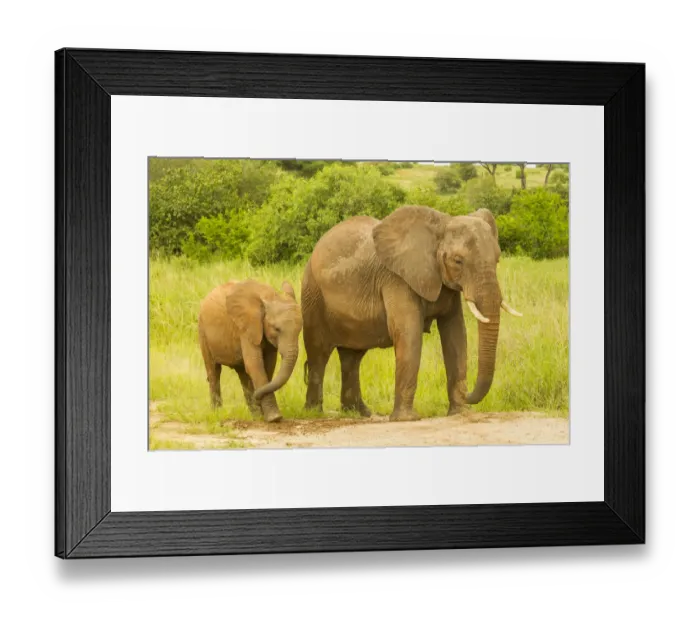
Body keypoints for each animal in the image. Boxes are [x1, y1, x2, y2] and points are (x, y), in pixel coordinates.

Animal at [198, 279, 302, 423]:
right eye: (276, 329)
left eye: (300, 330)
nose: (257, 398)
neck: (270, 295)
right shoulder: (246, 328)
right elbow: (255, 364)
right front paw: (274, 418)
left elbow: (268, 365)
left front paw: (263, 413)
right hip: (203, 331)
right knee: (214, 371)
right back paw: (217, 414)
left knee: (243, 373)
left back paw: (255, 414)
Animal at [301, 205, 522, 422]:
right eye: (458, 261)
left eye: (497, 260)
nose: (467, 394)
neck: (441, 224)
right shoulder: (396, 279)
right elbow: (409, 334)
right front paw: (407, 418)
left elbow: (456, 335)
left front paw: (460, 413)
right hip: (313, 295)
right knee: (318, 353)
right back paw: (314, 412)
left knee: (352, 357)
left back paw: (360, 413)